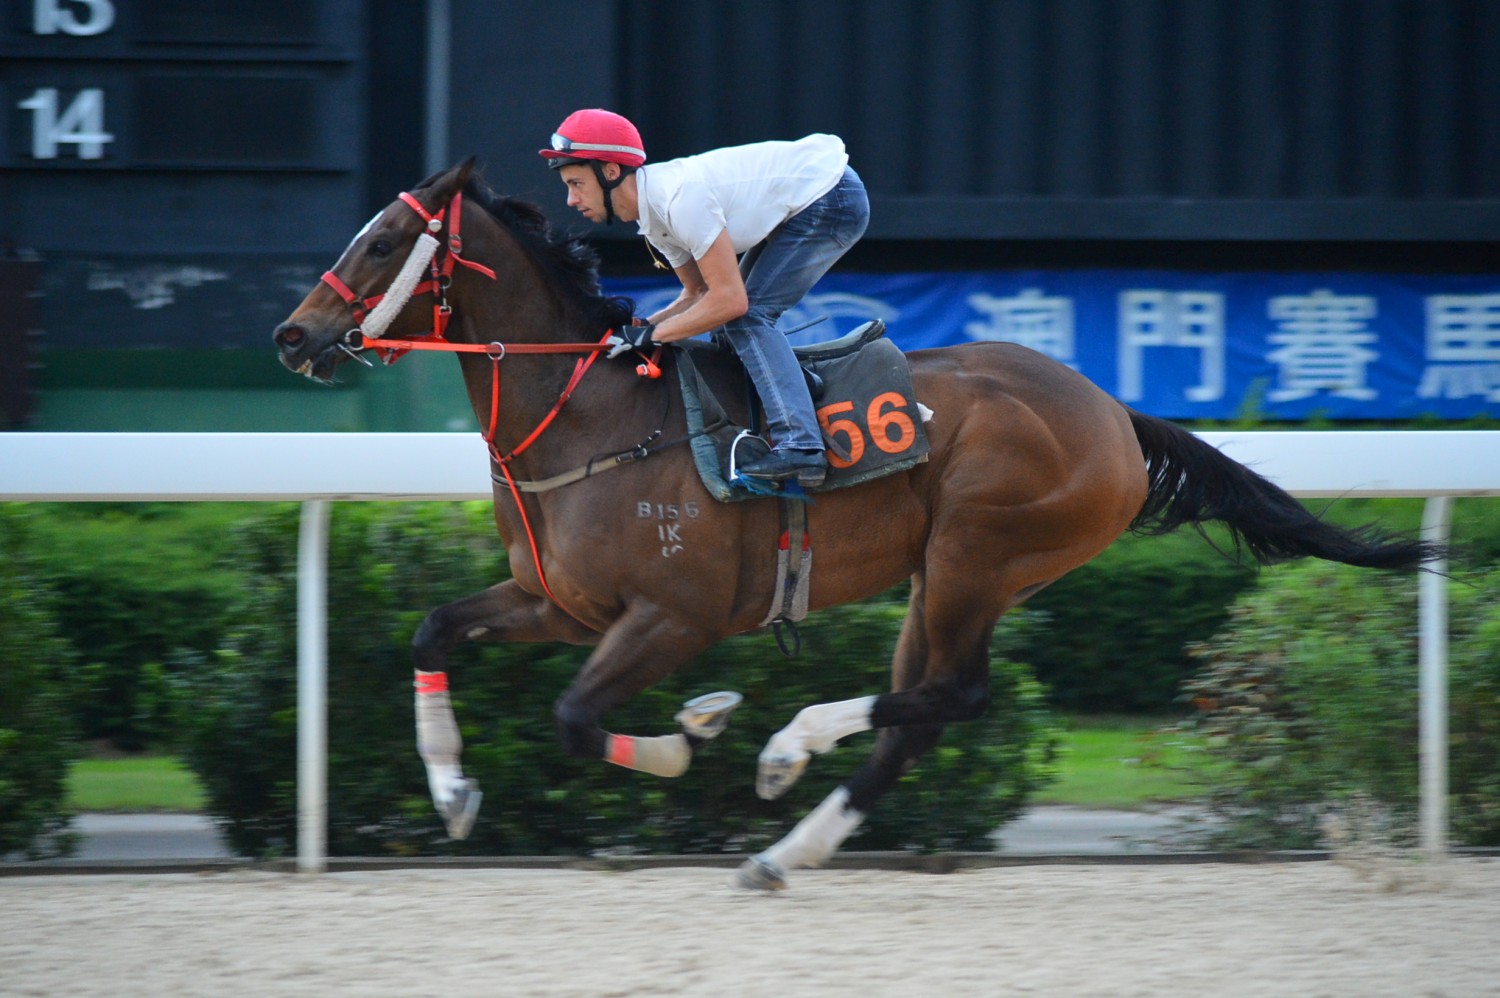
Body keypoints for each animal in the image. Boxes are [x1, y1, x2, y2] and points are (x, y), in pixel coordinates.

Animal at [276, 159, 1434, 888]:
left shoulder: (671, 616)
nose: (293, 335)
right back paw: (785, 847)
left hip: (978, 549)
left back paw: (785, 748)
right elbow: (431, 628)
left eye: (384, 240)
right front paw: (454, 790)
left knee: (948, 696)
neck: (593, 413)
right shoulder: (559, 601)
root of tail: (1112, 411)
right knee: (920, 713)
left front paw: (693, 735)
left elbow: (570, 717)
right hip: (943, 574)